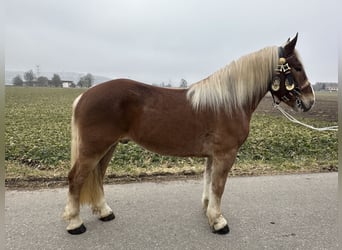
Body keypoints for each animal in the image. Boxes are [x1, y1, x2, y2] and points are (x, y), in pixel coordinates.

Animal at [62, 34, 316, 235]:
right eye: (297, 67)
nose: (310, 101)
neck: (229, 102)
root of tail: (84, 96)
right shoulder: (225, 154)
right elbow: (218, 186)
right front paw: (219, 222)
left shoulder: (213, 155)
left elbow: (209, 181)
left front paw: (209, 212)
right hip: (94, 149)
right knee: (76, 178)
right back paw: (75, 223)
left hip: (108, 147)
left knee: (97, 176)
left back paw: (104, 212)